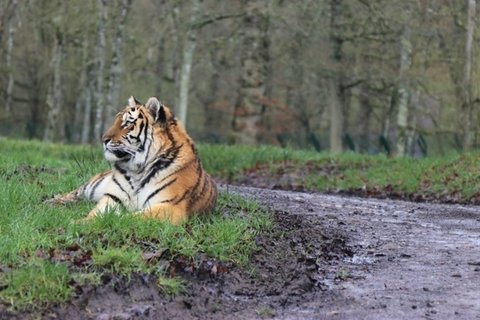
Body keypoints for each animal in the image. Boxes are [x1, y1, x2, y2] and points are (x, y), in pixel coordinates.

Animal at [45, 96, 218, 224]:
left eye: (127, 124)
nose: (103, 139)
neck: (138, 170)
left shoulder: (170, 206)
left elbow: (132, 218)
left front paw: (113, 220)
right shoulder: (113, 198)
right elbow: (95, 214)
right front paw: (81, 222)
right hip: (92, 186)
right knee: (75, 193)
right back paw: (51, 202)